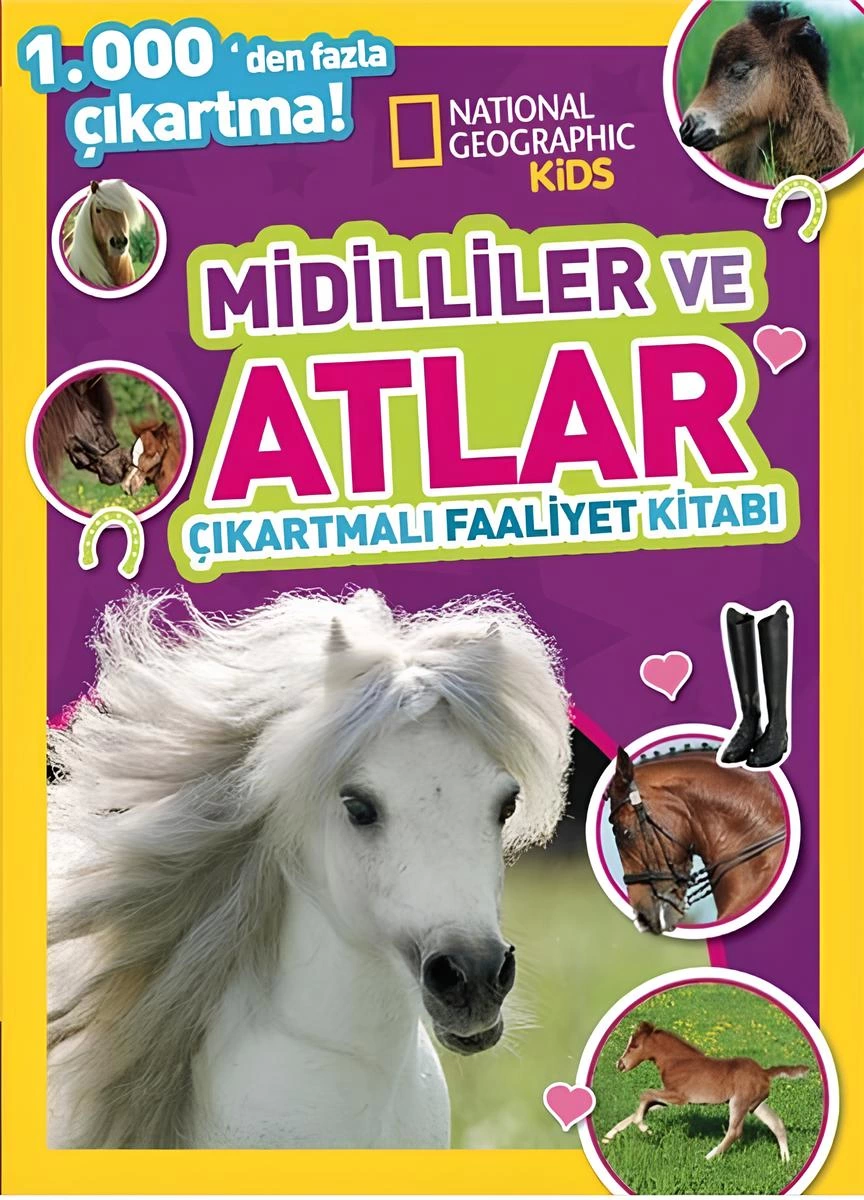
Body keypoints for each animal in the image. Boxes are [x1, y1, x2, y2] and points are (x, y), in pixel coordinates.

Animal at [602, 1021, 809, 1162]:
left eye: (634, 1046)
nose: (619, 1065)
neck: (677, 1061)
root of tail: (765, 1072)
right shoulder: (669, 1098)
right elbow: (642, 1107)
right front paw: (608, 1136)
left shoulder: (679, 1097)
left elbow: (645, 1094)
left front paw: (645, 1128)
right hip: (756, 1105)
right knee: (777, 1124)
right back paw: (786, 1159)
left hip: (739, 1102)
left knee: (735, 1131)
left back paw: (708, 1157)